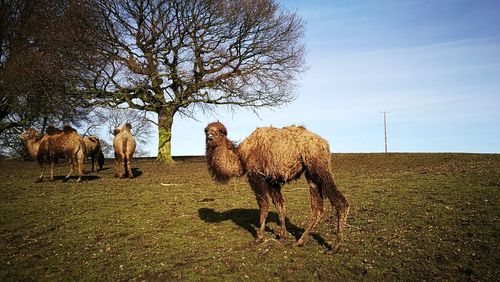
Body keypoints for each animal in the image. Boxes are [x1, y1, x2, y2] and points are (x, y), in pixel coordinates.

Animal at [205, 121, 350, 253]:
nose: (210, 135)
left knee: (340, 203)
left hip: (318, 166)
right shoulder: (271, 179)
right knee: (318, 207)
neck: (240, 157)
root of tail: (324, 144)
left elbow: (264, 205)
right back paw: (300, 241)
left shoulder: (255, 175)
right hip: (311, 174)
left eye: (220, 131)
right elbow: (279, 204)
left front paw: (259, 237)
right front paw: (282, 234)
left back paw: (335, 247)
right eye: (206, 130)